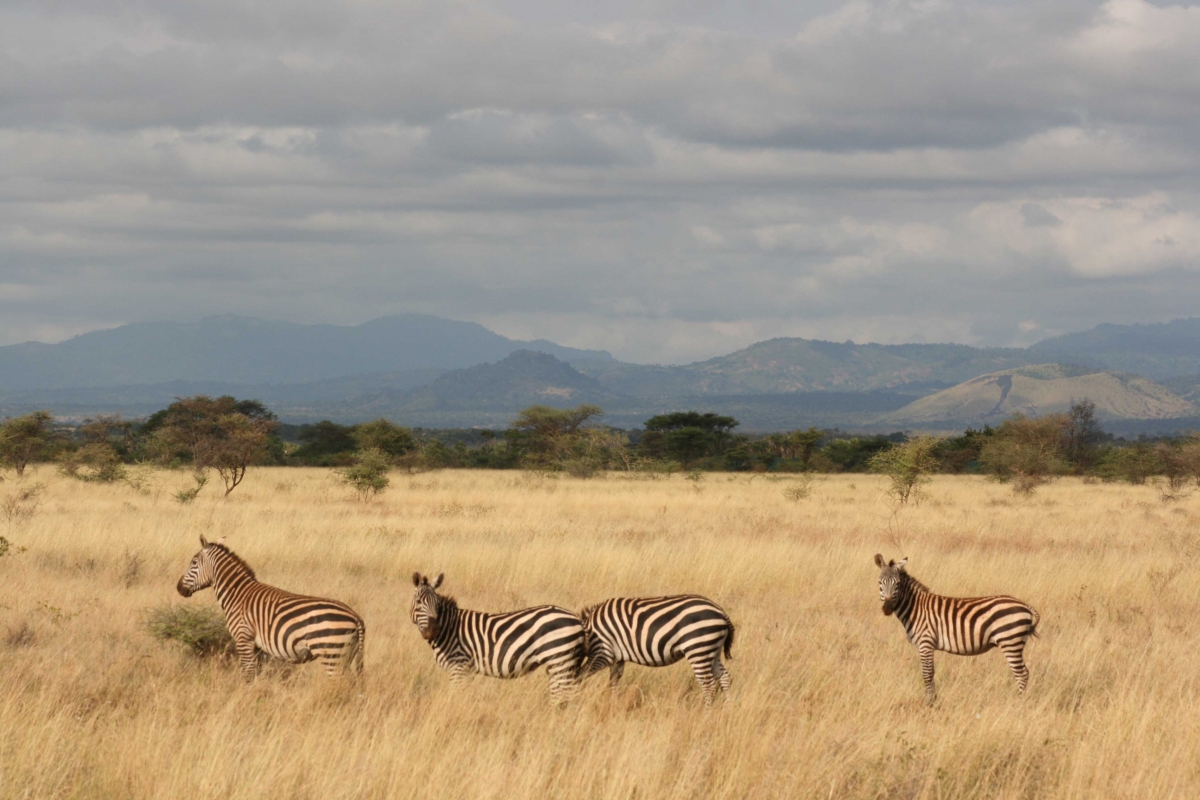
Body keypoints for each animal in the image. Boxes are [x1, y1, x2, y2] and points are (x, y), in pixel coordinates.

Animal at [174, 537, 360, 681]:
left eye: (193, 562)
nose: (179, 588)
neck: (238, 594)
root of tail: (356, 617)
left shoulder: (244, 639)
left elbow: (248, 674)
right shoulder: (258, 648)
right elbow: (257, 674)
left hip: (332, 655)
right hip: (347, 656)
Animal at [408, 573, 585, 705]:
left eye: (437, 604)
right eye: (418, 602)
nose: (432, 631)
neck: (449, 629)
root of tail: (577, 619)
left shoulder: (458, 666)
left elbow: (457, 697)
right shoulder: (465, 670)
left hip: (560, 659)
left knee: (567, 695)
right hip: (559, 663)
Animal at [578, 594, 734, 705]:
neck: (590, 632)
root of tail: (721, 611)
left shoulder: (603, 653)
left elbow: (580, 675)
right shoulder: (618, 659)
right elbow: (613, 683)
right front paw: (613, 704)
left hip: (698, 649)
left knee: (709, 685)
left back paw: (707, 714)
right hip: (712, 651)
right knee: (724, 677)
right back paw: (726, 710)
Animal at [873, 554, 1041, 705]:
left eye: (897, 584)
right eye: (880, 582)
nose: (887, 609)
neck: (915, 609)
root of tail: (1025, 605)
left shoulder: (925, 643)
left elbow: (927, 674)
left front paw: (929, 703)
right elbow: (931, 672)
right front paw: (933, 700)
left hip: (1010, 641)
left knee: (1022, 673)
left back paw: (1018, 702)